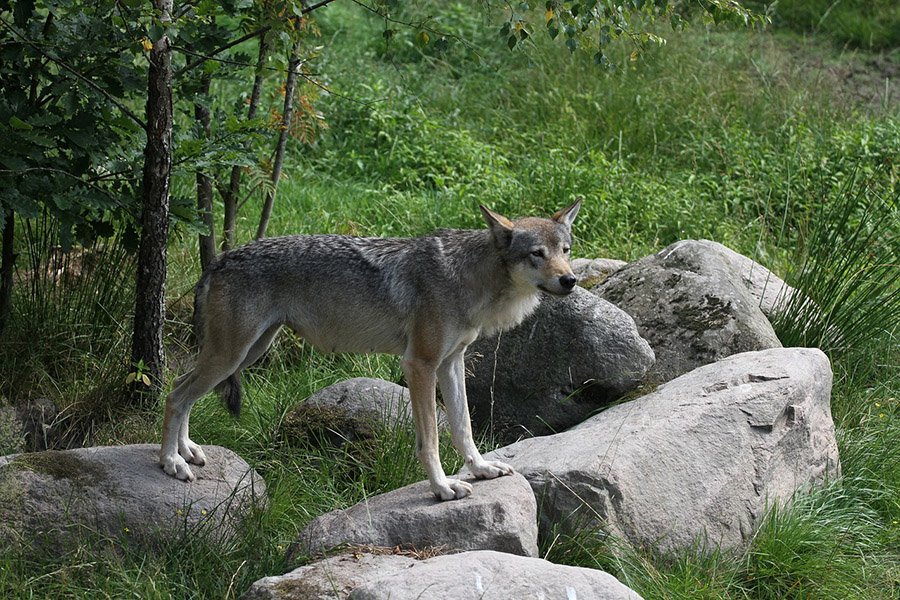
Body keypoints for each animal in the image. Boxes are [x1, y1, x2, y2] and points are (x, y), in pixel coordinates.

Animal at [160, 199, 582, 500]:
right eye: (537, 254)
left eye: (565, 249)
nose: (571, 280)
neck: (468, 277)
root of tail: (218, 260)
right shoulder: (420, 365)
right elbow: (430, 439)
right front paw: (442, 488)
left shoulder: (451, 363)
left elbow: (463, 427)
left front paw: (480, 469)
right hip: (232, 355)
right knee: (175, 395)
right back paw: (171, 462)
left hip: (247, 352)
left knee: (182, 387)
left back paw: (188, 450)